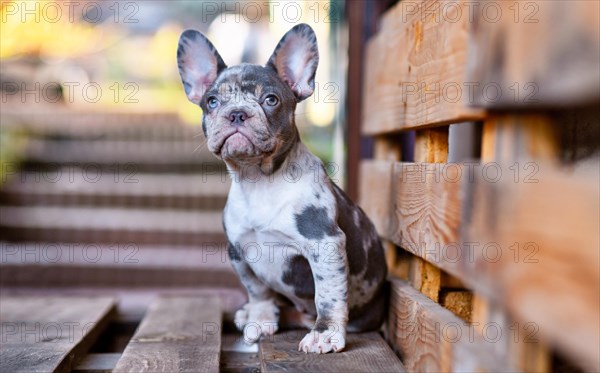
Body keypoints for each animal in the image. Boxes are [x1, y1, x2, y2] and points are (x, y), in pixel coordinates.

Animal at [176, 21, 386, 354]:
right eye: (212, 101)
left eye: (271, 100)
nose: (237, 113)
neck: (258, 180)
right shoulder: (239, 251)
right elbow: (258, 289)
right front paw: (261, 316)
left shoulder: (324, 244)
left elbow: (328, 294)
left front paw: (325, 333)